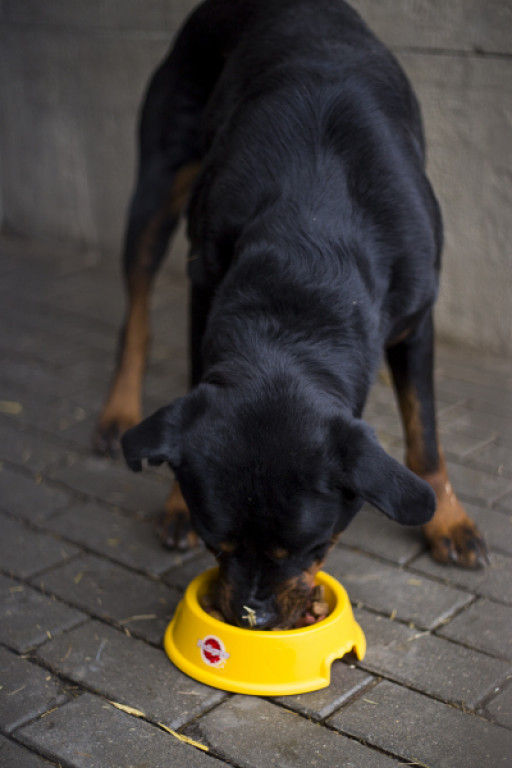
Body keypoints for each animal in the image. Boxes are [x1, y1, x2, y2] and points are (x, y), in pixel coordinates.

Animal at [96, 0, 488, 632]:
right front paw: (176, 501)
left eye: (315, 547)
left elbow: (424, 431)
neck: (311, 248)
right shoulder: (204, 283)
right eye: (217, 543)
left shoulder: (416, 319)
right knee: (136, 311)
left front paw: (447, 521)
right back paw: (116, 411)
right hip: (158, 181)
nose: (252, 617)